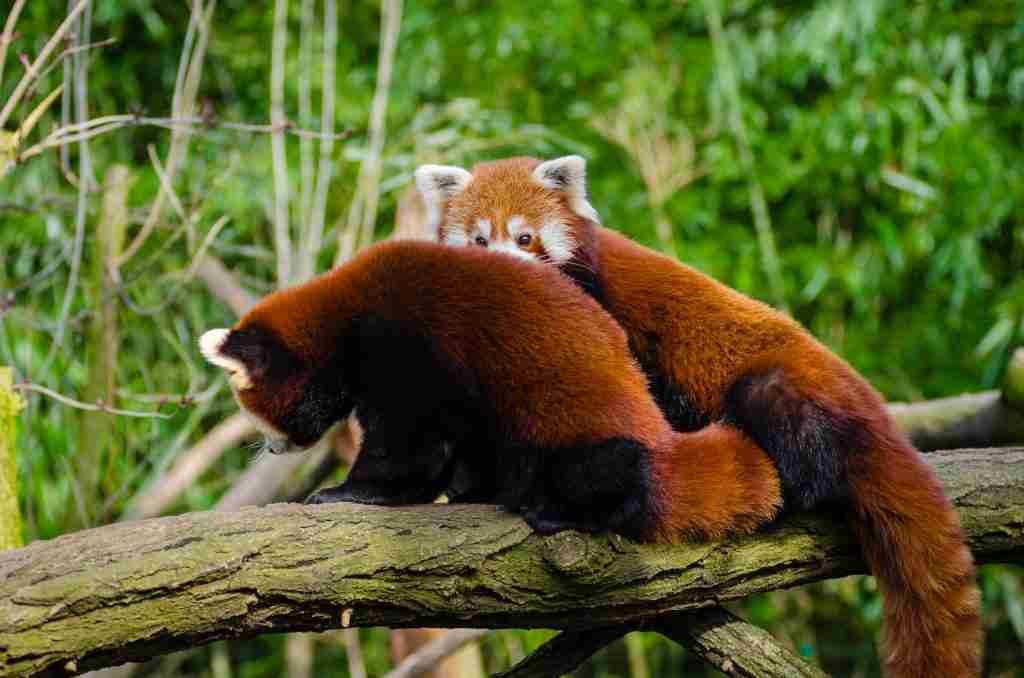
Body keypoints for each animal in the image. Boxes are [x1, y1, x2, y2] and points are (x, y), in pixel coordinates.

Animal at [199, 241, 778, 544]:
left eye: (257, 414)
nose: (271, 449)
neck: (342, 318)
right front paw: (465, 487)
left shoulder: (406, 346)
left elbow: (408, 443)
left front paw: (351, 491)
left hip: (585, 428)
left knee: (607, 469)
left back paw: (565, 511)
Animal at [421, 155, 983, 678]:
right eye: (479, 240)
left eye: (525, 237)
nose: (504, 272)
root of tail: (862, 394)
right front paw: (473, 481)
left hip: (781, 389)